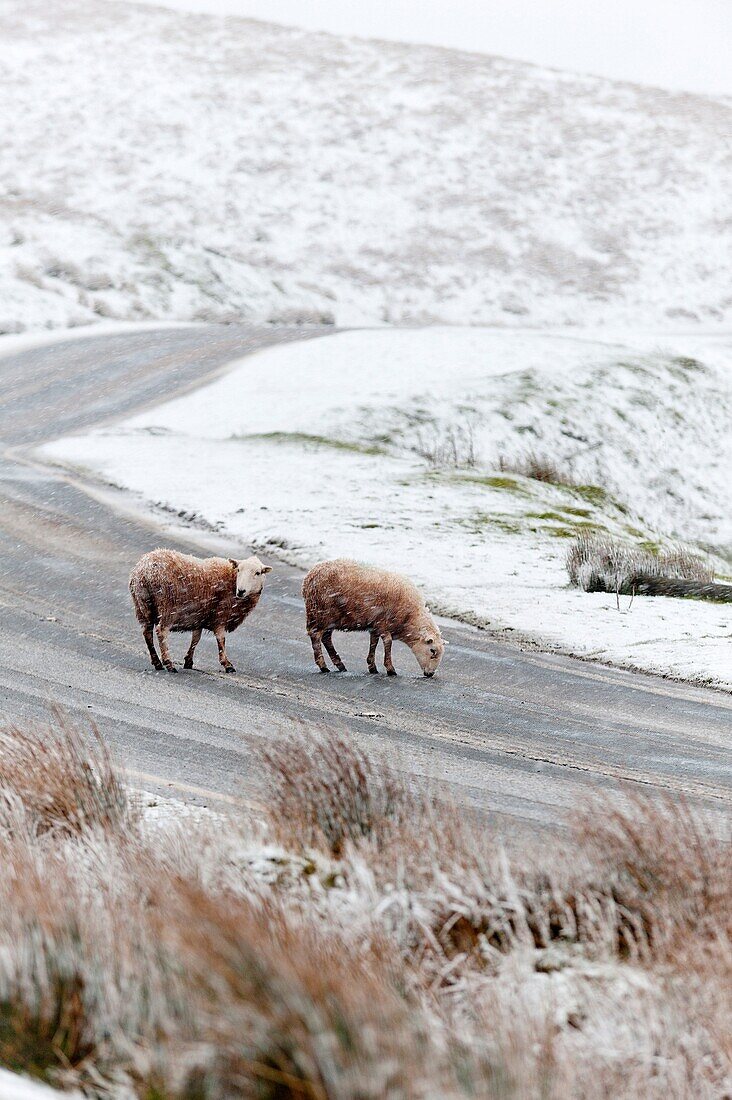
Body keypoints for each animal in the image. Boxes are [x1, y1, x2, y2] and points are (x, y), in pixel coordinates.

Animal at [129, 547, 270, 668]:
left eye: (258, 573)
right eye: (239, 570)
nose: (241, 591)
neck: (232, 581)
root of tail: (145, 571)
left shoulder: (200, 616)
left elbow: (196, 639)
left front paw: (188, 661)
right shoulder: (220, 616)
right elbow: (221, 640)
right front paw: (226, 664)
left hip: (142, 606)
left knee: (147, 633)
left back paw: (157, 663)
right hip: (167, 606)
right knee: (161, 631)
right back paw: (168, 663)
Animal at [299, 563, 442, 673]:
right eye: (432, 651)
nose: (430, 674)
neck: (410, 617)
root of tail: (309, 577)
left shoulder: (376, 624)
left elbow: (373, 642)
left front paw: (372, 666)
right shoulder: (383, 623)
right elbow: (388, 642)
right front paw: (390, 669)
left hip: (328, 618)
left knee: (326, 638)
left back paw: (340, 665)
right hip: (320, 613)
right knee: (316, 636)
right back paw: (323, 666)